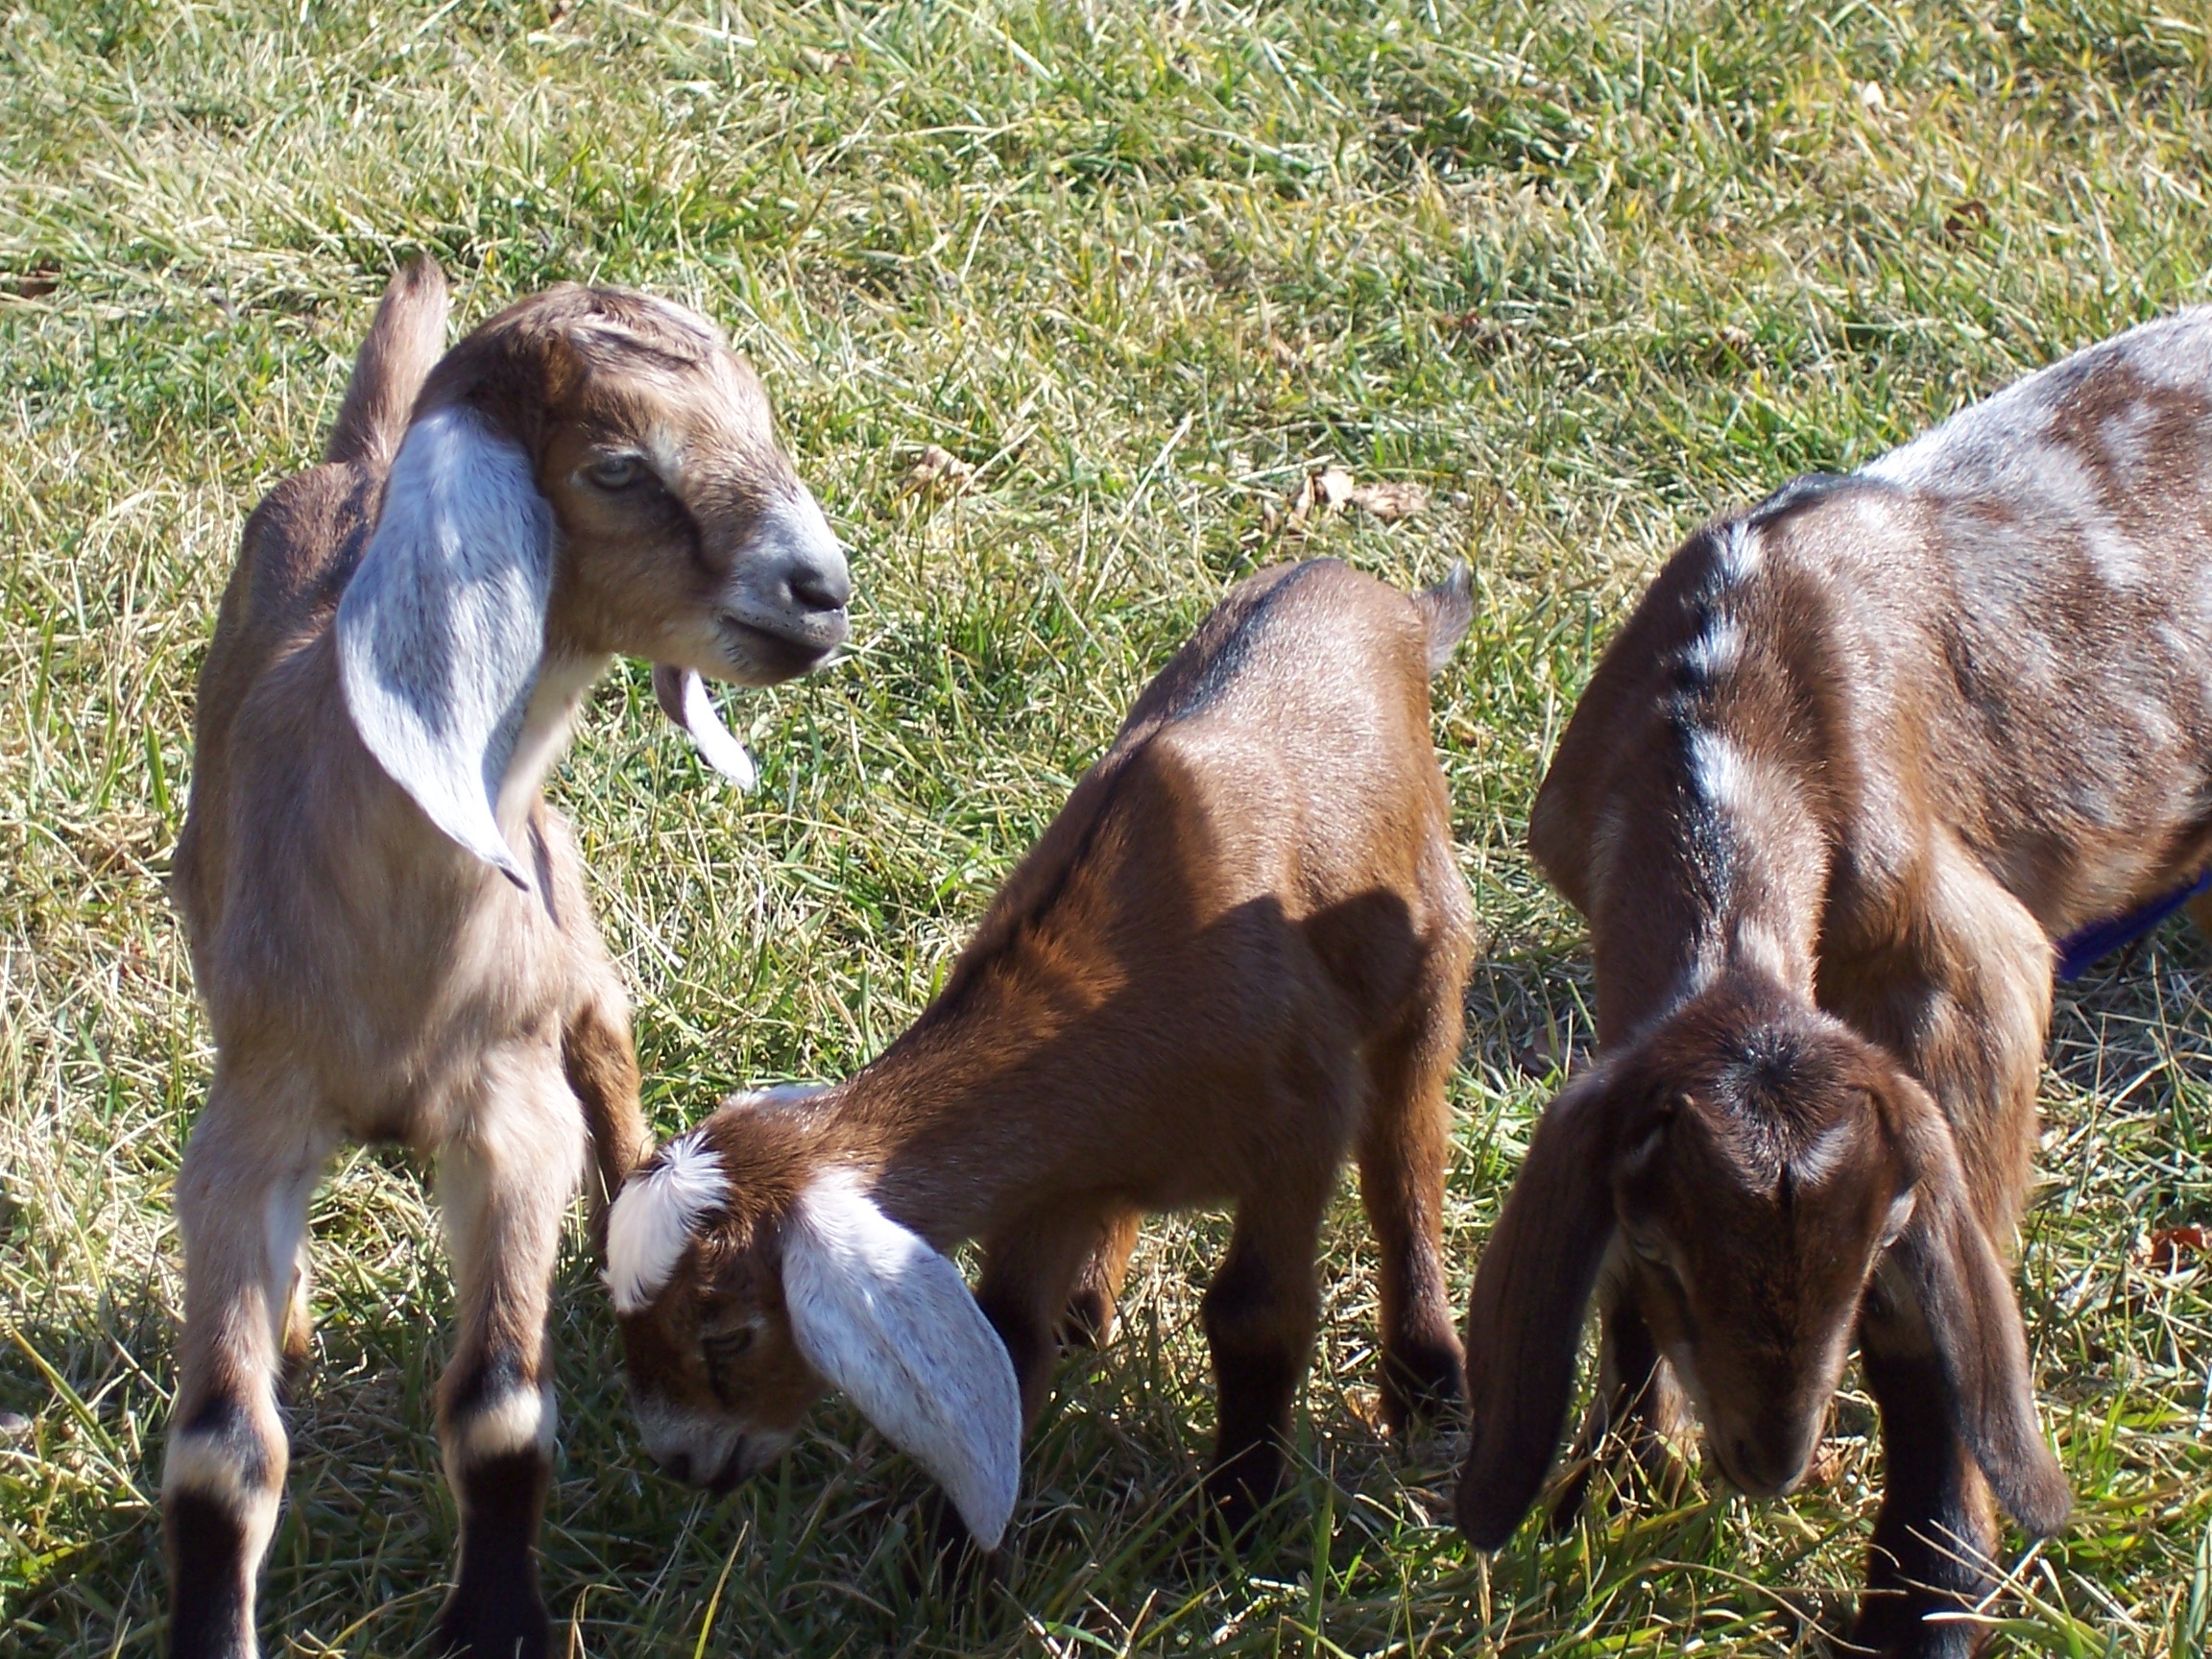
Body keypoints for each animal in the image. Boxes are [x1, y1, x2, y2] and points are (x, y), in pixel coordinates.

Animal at [163, 258, 851, 1659]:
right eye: (621, 466)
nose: (823, 589)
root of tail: (357, 465)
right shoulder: (253, 1112)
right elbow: (222, 1446)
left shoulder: (510, 1109)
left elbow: (497, 1406)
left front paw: (496, 1622)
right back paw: (298, 1321)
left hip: (573, 932)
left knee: (611, 1056)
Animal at [604, 558, 1476, 1546]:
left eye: (724, 1333)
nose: (680, 1461)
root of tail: (1393, 601)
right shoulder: (1050, 1181)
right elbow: (1010, 1334)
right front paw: (952, 1567)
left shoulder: (1299, 1127)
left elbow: (1259, 1315)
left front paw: (1237, 1522)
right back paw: (1086, 1312)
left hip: (1432, 948)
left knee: (1407, 1150)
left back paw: (1427, 1382)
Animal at [1455, 309, 2212, 1654]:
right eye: (1662, 1250)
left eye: (1875, 1256)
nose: (1768, 1463)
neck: (1737, 693)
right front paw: (1615, 1487)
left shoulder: (1969, 961)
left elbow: (1937, 1324)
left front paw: (1930, 1602)